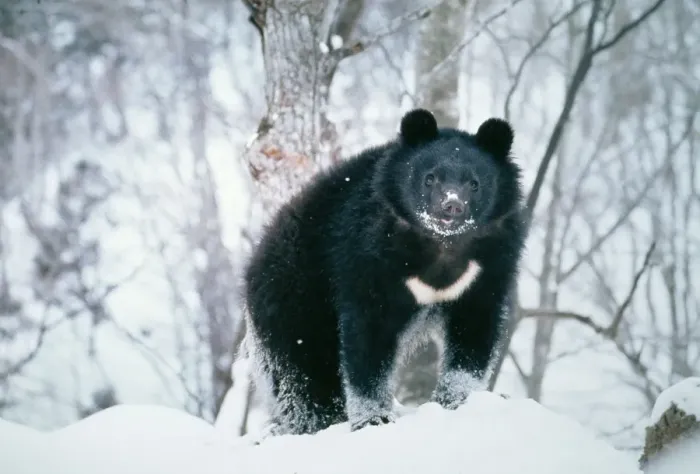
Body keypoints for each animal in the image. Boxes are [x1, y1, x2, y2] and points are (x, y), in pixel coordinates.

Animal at [242, 108, 527, 436]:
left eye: (475, 183)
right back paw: (312, 422)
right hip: (293, 301)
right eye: (430, 178)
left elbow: (475, 329)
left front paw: (460, 400)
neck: (441, 244)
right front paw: (373, 419)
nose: (451, 206)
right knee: (301, 373)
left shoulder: (489, 266)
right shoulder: (367, 256)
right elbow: (368, 336)